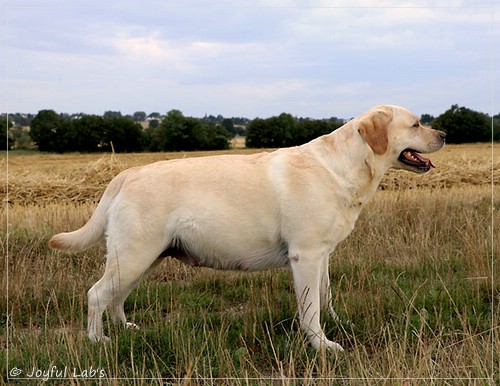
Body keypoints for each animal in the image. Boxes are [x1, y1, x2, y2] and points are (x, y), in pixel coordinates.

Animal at [48, 105, 446, 350]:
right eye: (415, 124)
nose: (443, 134)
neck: (344, 167)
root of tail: (125, 175)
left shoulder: (323, 255)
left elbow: (326, 296)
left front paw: (337, 325)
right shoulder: (305, 255)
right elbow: (310, 308)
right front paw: (321, 344)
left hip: (143, 257)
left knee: (116, 296)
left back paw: (123, 329)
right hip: (133, 254)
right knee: (96, 294)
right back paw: (98, 341)